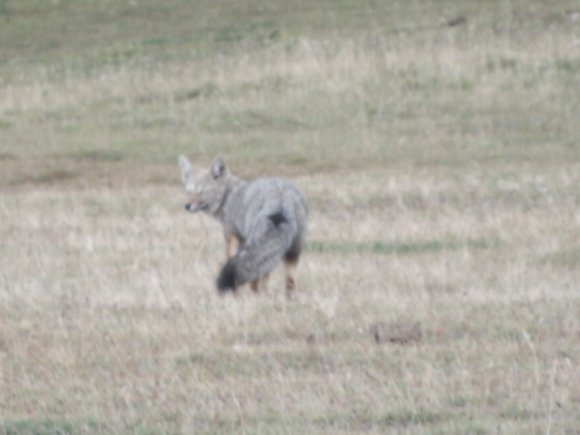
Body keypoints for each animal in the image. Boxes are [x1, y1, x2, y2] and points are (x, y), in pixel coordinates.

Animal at [179, 155, 308, 296]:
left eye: (202, 192)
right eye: (189, 192)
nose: (187, 206)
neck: (228, 196)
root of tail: (281, 198)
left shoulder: (232, 236)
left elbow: (230, 259)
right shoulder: (243, 240)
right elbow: (265, 275)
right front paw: (264, 291)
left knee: (255, 274)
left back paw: (253, 294)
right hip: (292, 251)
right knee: (286, 279)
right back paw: (286, 296)